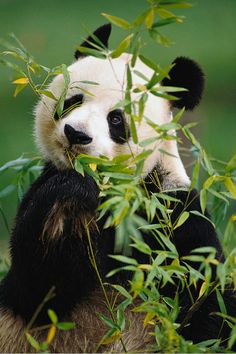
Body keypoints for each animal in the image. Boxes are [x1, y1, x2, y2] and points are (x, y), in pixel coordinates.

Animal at [0, 23, 235, 352]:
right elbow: (34, 289)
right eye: (73, 100)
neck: (113, 191)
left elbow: (205, 299)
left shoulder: (172, 213)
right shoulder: (43, 188)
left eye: (115, 119)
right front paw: (69, 196)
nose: (76, 134)